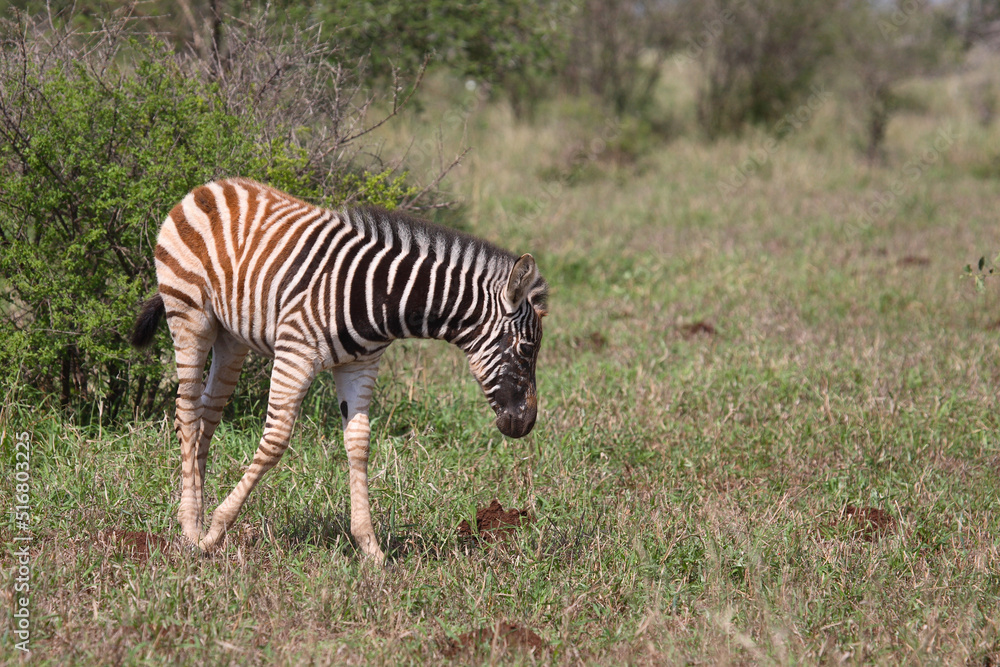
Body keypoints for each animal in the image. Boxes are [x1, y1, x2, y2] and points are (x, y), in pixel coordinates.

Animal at [130, 178, 547, 564]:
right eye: (526, 349)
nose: (526, 424)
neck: (381, 298)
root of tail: (209, 186)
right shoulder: (295, 353)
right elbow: (276, 441)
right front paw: (216, 530)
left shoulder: (360, 365)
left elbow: (359, 444)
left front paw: (371, 548)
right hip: (189, 314)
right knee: (186, 410)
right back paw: (190, 528)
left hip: (232, 337)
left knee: (207, 414)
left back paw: (194, 515)